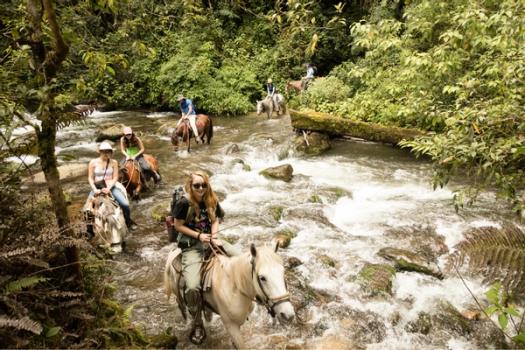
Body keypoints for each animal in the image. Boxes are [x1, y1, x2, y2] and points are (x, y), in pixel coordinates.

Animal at [164, 243, 294, 348]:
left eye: (283, 272)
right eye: (262, 278)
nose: (288, 315)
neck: (235, 287)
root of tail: (174, 252)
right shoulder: (231, 326)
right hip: (180, 295)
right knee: (184, 308)